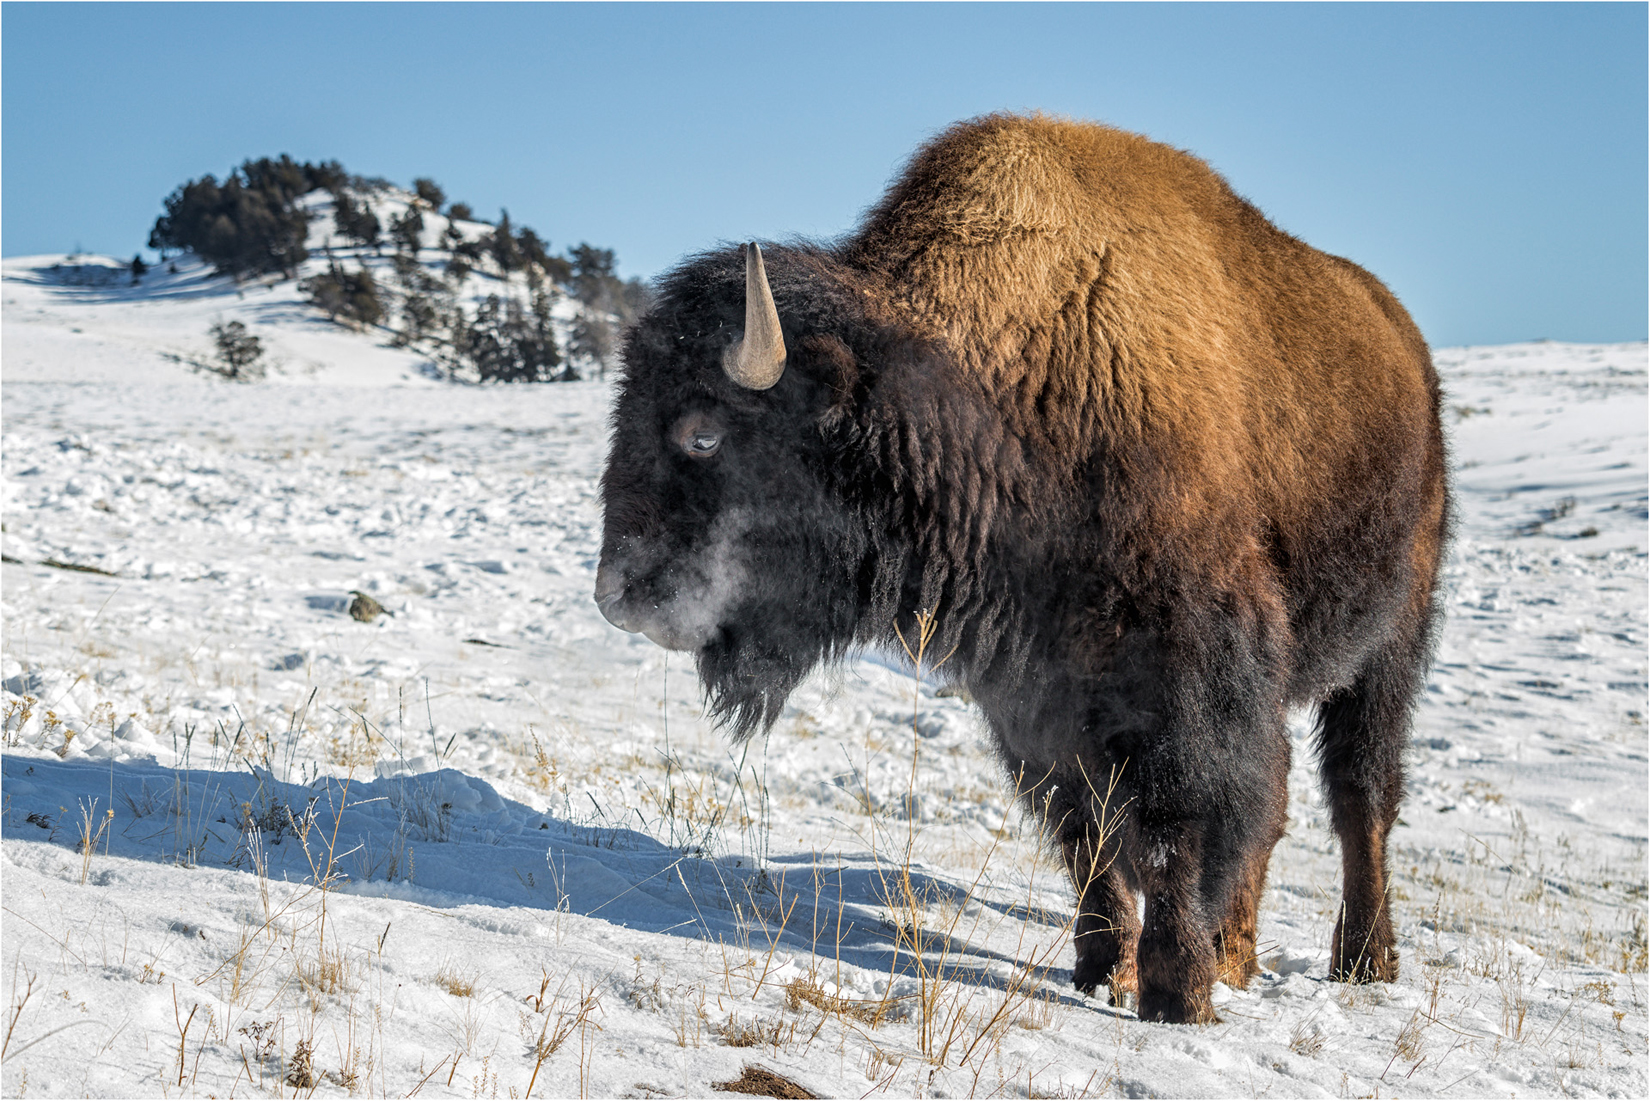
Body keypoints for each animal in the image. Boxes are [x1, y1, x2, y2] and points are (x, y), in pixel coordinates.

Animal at [595, 113, 1449, 1024]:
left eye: (702, 432)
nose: (617, 596)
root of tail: (1409, 353)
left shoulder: (1189, 687)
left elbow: (1179, 826)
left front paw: (1177, 995)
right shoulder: (1036, 704)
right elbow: (1089, 835)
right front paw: (1106, 969)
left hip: (1390, 646)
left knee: (1359, 795)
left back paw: (1361, 959)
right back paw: (1240, 955)